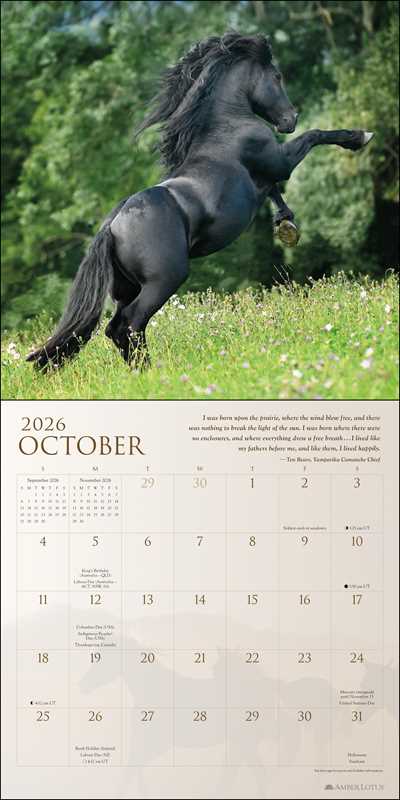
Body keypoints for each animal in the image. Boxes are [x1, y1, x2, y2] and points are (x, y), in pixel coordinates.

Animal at [27, 31, 374, 371]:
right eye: (277, 76)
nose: (290, 120)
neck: (227, 125)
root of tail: (113, 225)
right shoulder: (279, 160)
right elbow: (314, 136)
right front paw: (360, 136)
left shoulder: (268, 175)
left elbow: (275, 189)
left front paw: (285, 223)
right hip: (164, 280)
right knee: (130, 324)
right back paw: (151, 372)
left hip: (127, 288)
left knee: (117, 329)